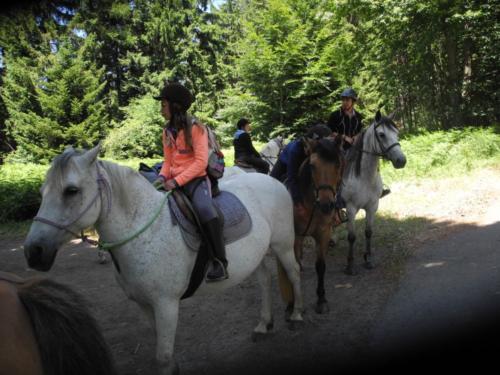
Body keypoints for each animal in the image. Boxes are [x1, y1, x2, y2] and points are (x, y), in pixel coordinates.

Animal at [23, 146, 302, 375]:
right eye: (42, 191)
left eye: (71, 191)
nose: (33, 251)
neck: (145, 230)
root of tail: (270, 179)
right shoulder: (146, 305)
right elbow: (161, 350)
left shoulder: (166, 305)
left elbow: (163, 358)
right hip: (259, 254)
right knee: (264, 280)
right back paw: (263, 324)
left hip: (283, 245)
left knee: (294, 273)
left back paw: (297, 315)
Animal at [278, 137, 344, 316]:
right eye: (312, 165)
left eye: (337, 164)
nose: (327, 204)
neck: (310, 203)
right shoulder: (293, 235)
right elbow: (291, 268)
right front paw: (291, 304)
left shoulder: (323, 233)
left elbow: (320, 266)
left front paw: (321, 299)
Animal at [340, 110, 406, 274]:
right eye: (381, 134)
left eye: (396, 133)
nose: (401, 161)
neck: (364, 177)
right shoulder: (350, 208)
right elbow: (351, 237)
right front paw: (350, 265)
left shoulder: (372, 207)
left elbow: (368, 232)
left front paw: (368, 259)